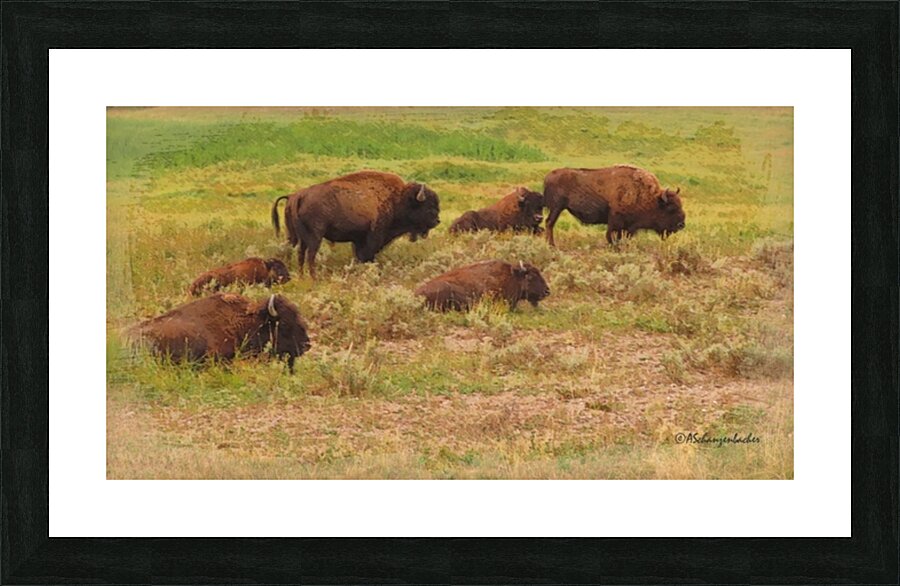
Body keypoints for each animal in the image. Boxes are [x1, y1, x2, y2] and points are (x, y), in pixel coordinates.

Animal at [271, 170, 440, 278]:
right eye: (429, 206)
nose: (437, 221)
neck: (397, 199)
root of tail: (296, 196)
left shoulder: (358, 239)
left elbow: (359, 256)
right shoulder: (373, 237)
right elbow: (368, 256)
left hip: (294, 236)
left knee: (298, 254)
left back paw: (301, 276)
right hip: (315, 237)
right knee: (310, 256)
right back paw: (314, 278)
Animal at [543, 165, 685, 246]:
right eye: (671, 208)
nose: (681, 225)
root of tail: (548, 176)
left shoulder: (629, 227)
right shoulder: (615, 221)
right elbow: (611, 237)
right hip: (556, 208)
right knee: (549, 223)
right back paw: (552, 245)